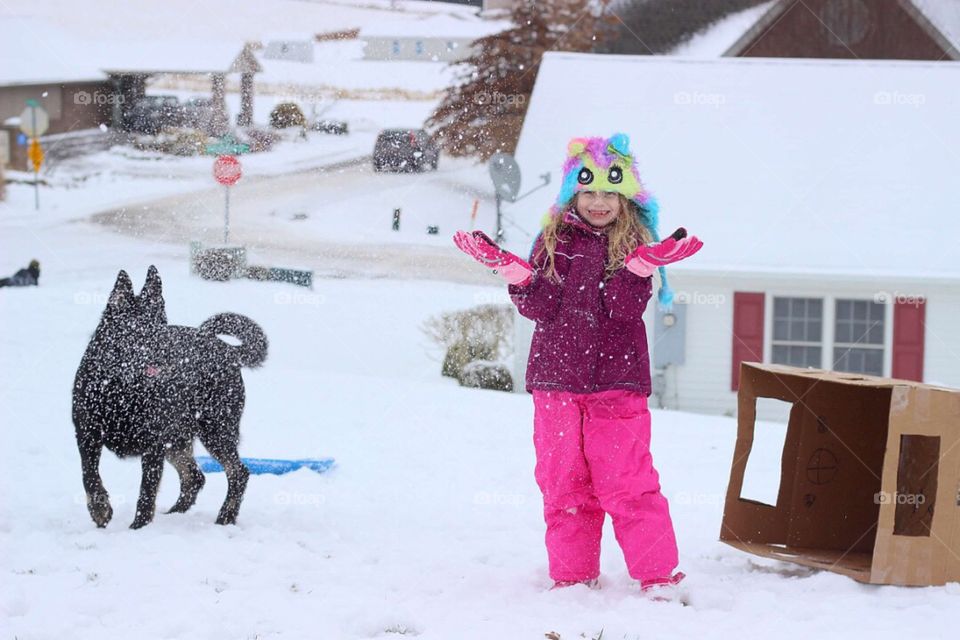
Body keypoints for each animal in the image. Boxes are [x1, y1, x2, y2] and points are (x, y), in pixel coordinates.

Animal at [71, 266, 268, 528]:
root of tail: (227, 350)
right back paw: (175, 513)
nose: (167, 356)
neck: (121, 386)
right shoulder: (87, 434)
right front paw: (100, 509)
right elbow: (89, 475)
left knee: (237, 472)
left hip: (215, 430)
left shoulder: (153, 445)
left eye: (162, 328)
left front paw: (138, 527)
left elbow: (146, 492)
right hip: (177, 440)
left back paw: (225, 516)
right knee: (195, 476)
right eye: (139, 334)